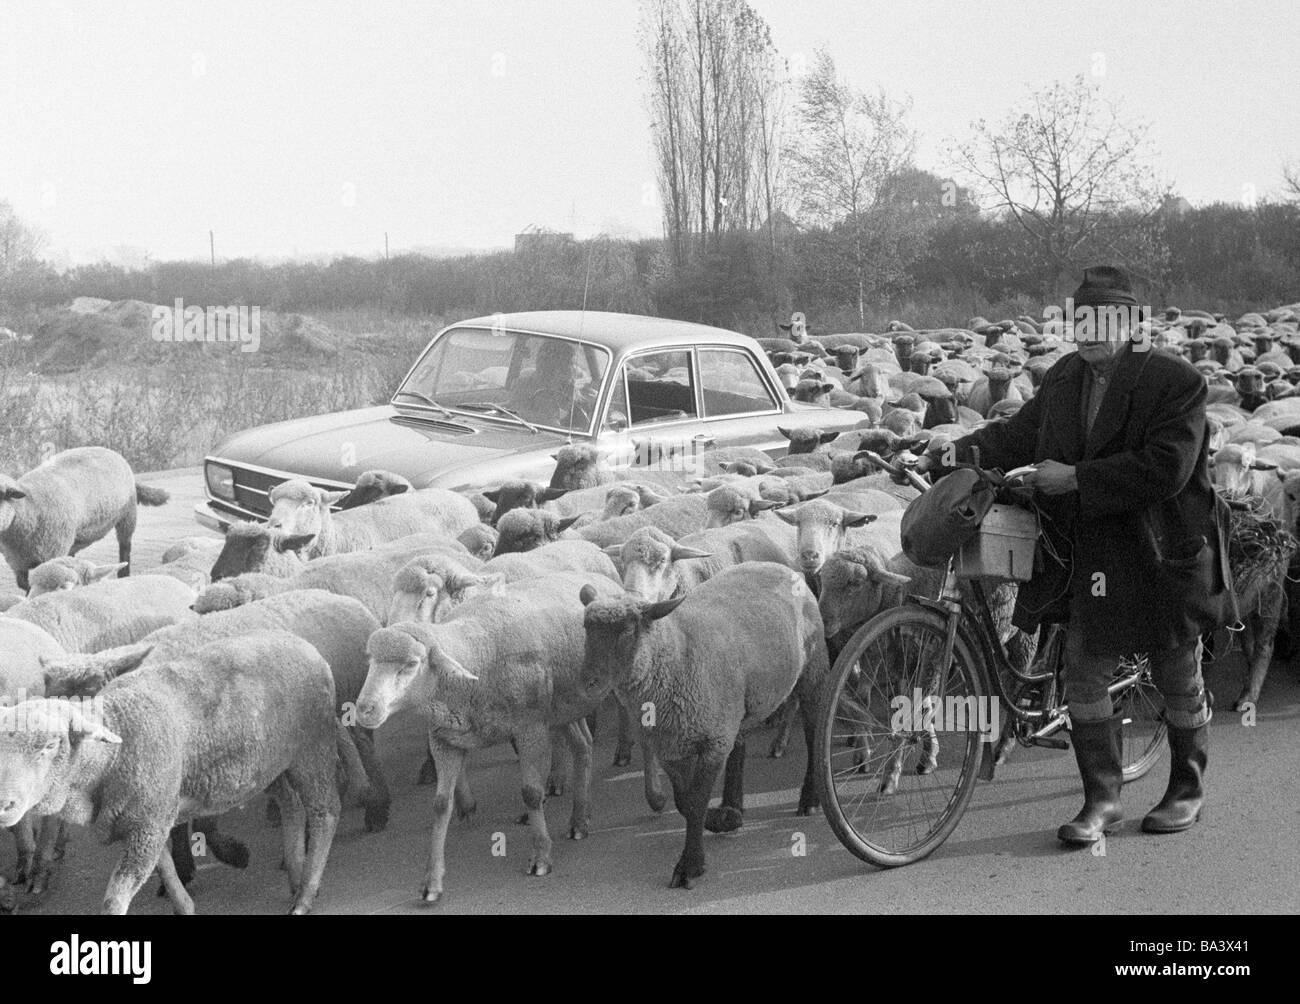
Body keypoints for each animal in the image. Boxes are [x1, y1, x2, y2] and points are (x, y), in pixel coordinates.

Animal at [0, 444, 171, 593]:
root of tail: (106, 449)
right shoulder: (17, 562)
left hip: (128, 516)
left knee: (125, 548)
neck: (30, 506)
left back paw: (124, 574)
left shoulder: (52, 553)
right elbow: (25, 584)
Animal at [0, 632, 343, 915]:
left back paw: (305, 896)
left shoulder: (149, 822)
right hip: (271, 764)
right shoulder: (149, 818)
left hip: (313, 747)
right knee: (292, 806)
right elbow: (164, 866)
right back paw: (296, 876)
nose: (5, 804)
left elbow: (116, 898)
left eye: (51, 744)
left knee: (325, 812)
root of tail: (305, 646)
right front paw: (184, 905)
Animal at [582, 564, 826, 884]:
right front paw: (723, 820)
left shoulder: (713, 743)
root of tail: (779, 566)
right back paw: (732, 805)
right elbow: (684, 802)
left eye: (626, 631)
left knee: (813, 732)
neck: (675, 653)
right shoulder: (669, 747)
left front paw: (690, 865)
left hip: (811, 673)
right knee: (740, 746)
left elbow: (696, 801)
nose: (587, 683)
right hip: (735, 707)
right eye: (585, 629)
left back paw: (810, 799)